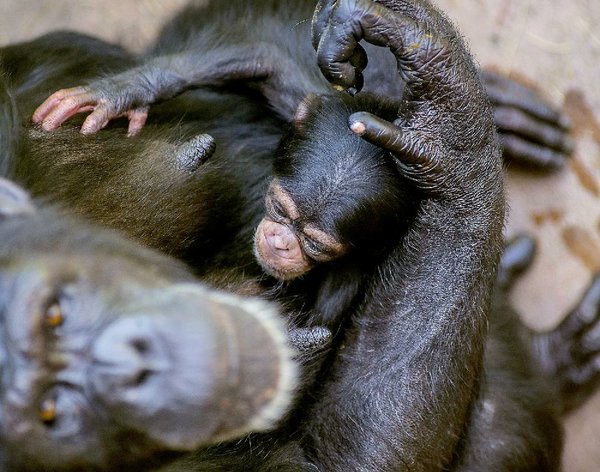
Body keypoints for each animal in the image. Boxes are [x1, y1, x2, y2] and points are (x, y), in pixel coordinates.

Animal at [0, 0, 592, 472]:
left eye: (315, 244)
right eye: (281, 210)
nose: (283, 242)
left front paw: (448, 121)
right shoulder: (310, 103)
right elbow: (258, 60)